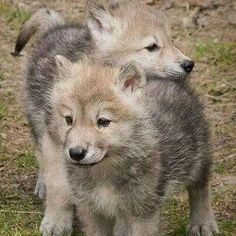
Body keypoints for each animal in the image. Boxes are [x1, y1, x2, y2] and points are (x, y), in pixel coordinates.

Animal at [18, 0, 195, 235]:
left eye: (172, 41)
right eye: (152, 47)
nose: (189, 64)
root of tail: (59, 26)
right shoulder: (57, 140)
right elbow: (59, 186)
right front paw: (56, 222)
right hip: (39, 125)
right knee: (42, 159)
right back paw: (42, 185)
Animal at [47, 56, 218, 236]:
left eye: (103, 121)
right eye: (69, 119)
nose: (76, 153)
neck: (104, 172)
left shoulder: (142, 213)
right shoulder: (92, 210)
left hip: (197, 158)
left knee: (201, 188)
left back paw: (202, 223)